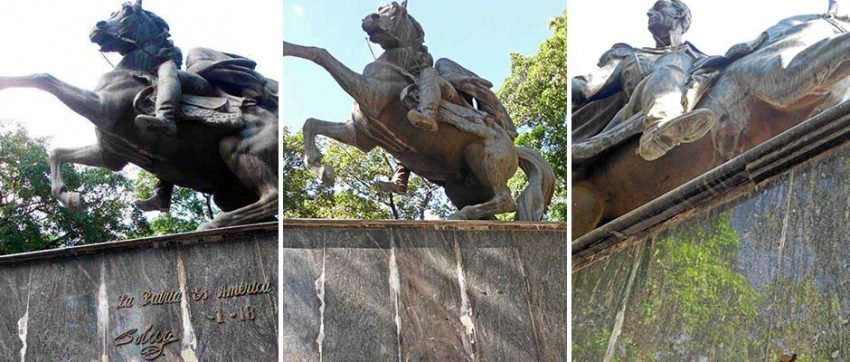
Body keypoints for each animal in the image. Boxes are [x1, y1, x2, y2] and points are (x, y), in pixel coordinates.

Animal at [0, 0, 278, 229]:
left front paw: (5, 82)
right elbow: (57, 152)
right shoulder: (110, 154)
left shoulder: (101, 107)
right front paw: (69, 197)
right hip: (226, 191)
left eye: (127, 11)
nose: (97, 27)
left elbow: (44, 78)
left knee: (272, 197)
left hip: (238, 151)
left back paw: (215, 223)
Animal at [282, 1, 552, 221]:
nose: (367, 18)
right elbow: (311, 123)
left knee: (506, 199)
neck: (394, 66)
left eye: (393, 11)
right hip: (459, 188)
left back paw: (460, 215)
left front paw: (287, 47)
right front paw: (321, 169)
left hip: (482, 158)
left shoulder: (369, 95)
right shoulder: (361, 136)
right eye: (380, 8)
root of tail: (514, 148)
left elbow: (321, 54)